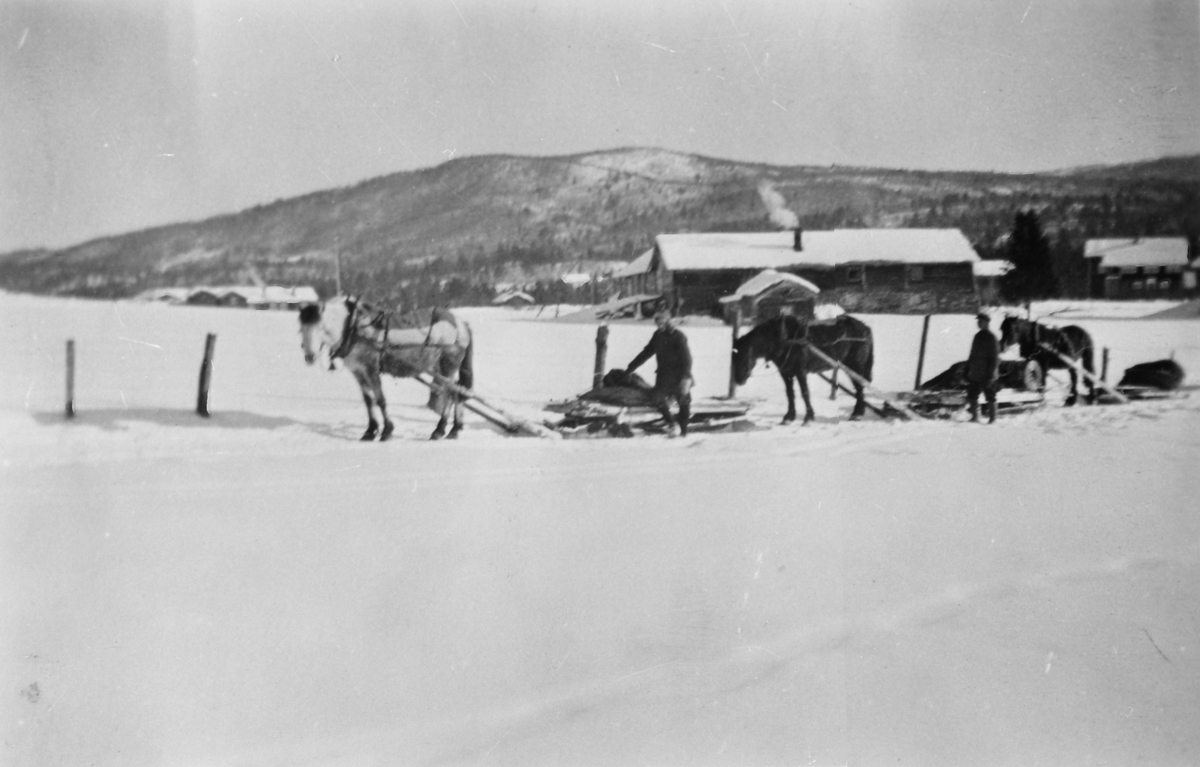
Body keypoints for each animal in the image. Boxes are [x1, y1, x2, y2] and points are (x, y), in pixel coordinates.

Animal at [300, 297, 472, 441]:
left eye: (321, 327)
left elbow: (380, 400)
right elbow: (369, 401)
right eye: (301, 329)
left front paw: (387, 431)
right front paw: (370, 431)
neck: (353, 327)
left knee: (449, 394)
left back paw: (439, 429)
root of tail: (460, 323)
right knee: (457, 392)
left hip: (448, 364)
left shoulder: (371, 368)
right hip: (439, 366)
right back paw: (454, 429)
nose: (310, 356)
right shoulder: (358, 371)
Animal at [729, 316, 873, 429]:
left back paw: (857, 414)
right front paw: (788, 417)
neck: (785, 339)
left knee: (859, 388)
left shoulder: (800, 371)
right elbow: (790, 394)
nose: (739, 380)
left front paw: (808, 418)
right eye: (733, 357)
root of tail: (866, 328)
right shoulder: (786, 373)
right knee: (859, 389)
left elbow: (805, 393)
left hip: (856, 366)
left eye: (743, 355)